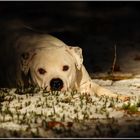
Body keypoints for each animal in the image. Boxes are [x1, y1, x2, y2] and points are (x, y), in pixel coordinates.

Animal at [0, 20, 129, 100]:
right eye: (41, 71)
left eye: (66, 67)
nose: (56, 82)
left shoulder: (86, 83)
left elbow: (101, 89)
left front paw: (118, 97)